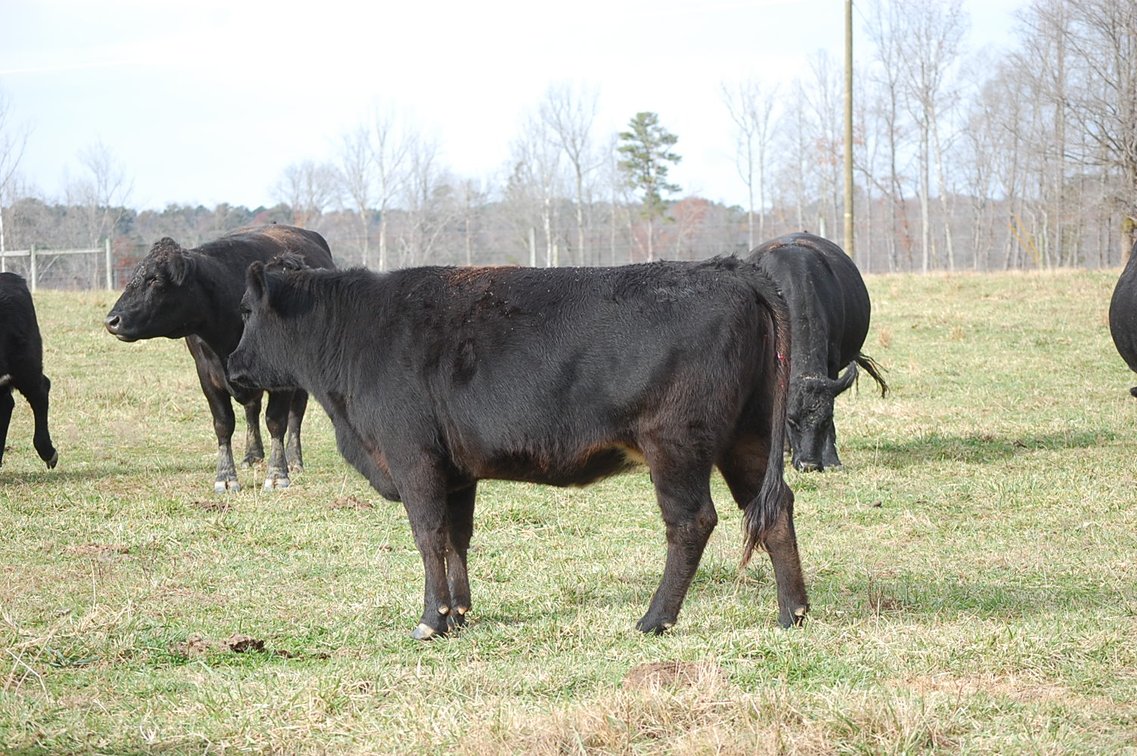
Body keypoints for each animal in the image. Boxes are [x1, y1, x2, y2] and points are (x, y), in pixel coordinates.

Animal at [104, 225, 335, 492]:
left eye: (155, 279)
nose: (112, 320)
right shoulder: (206, 373)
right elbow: (224, 423)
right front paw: (225, 476)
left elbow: (277, 421)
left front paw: (278, 474)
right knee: (252, 410)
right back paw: (252, 455)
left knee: (296, 414)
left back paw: (294, 460)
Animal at [226, 256, 810, 639]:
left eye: (246, 311)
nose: (232, 370)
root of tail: (727, 268)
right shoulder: (456, 471)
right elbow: (456, 538)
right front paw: (459, 614)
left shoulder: (413, 457)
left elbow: (428, 536)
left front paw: (430, 621)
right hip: (748, 437)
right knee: (775, 509)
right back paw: (793, 614)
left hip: (675, 444)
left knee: (691, 522)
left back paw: (654, 620)